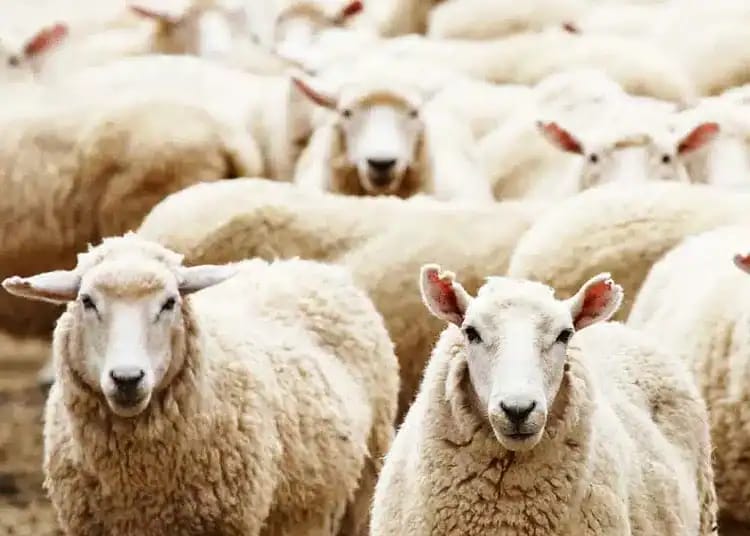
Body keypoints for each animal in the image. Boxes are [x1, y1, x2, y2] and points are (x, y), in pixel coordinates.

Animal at [2, 232, 399, 535]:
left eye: (169, 303)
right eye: (87, 301)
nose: (127, 378)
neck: (139, 482)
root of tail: (305, 265)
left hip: (365, 481)